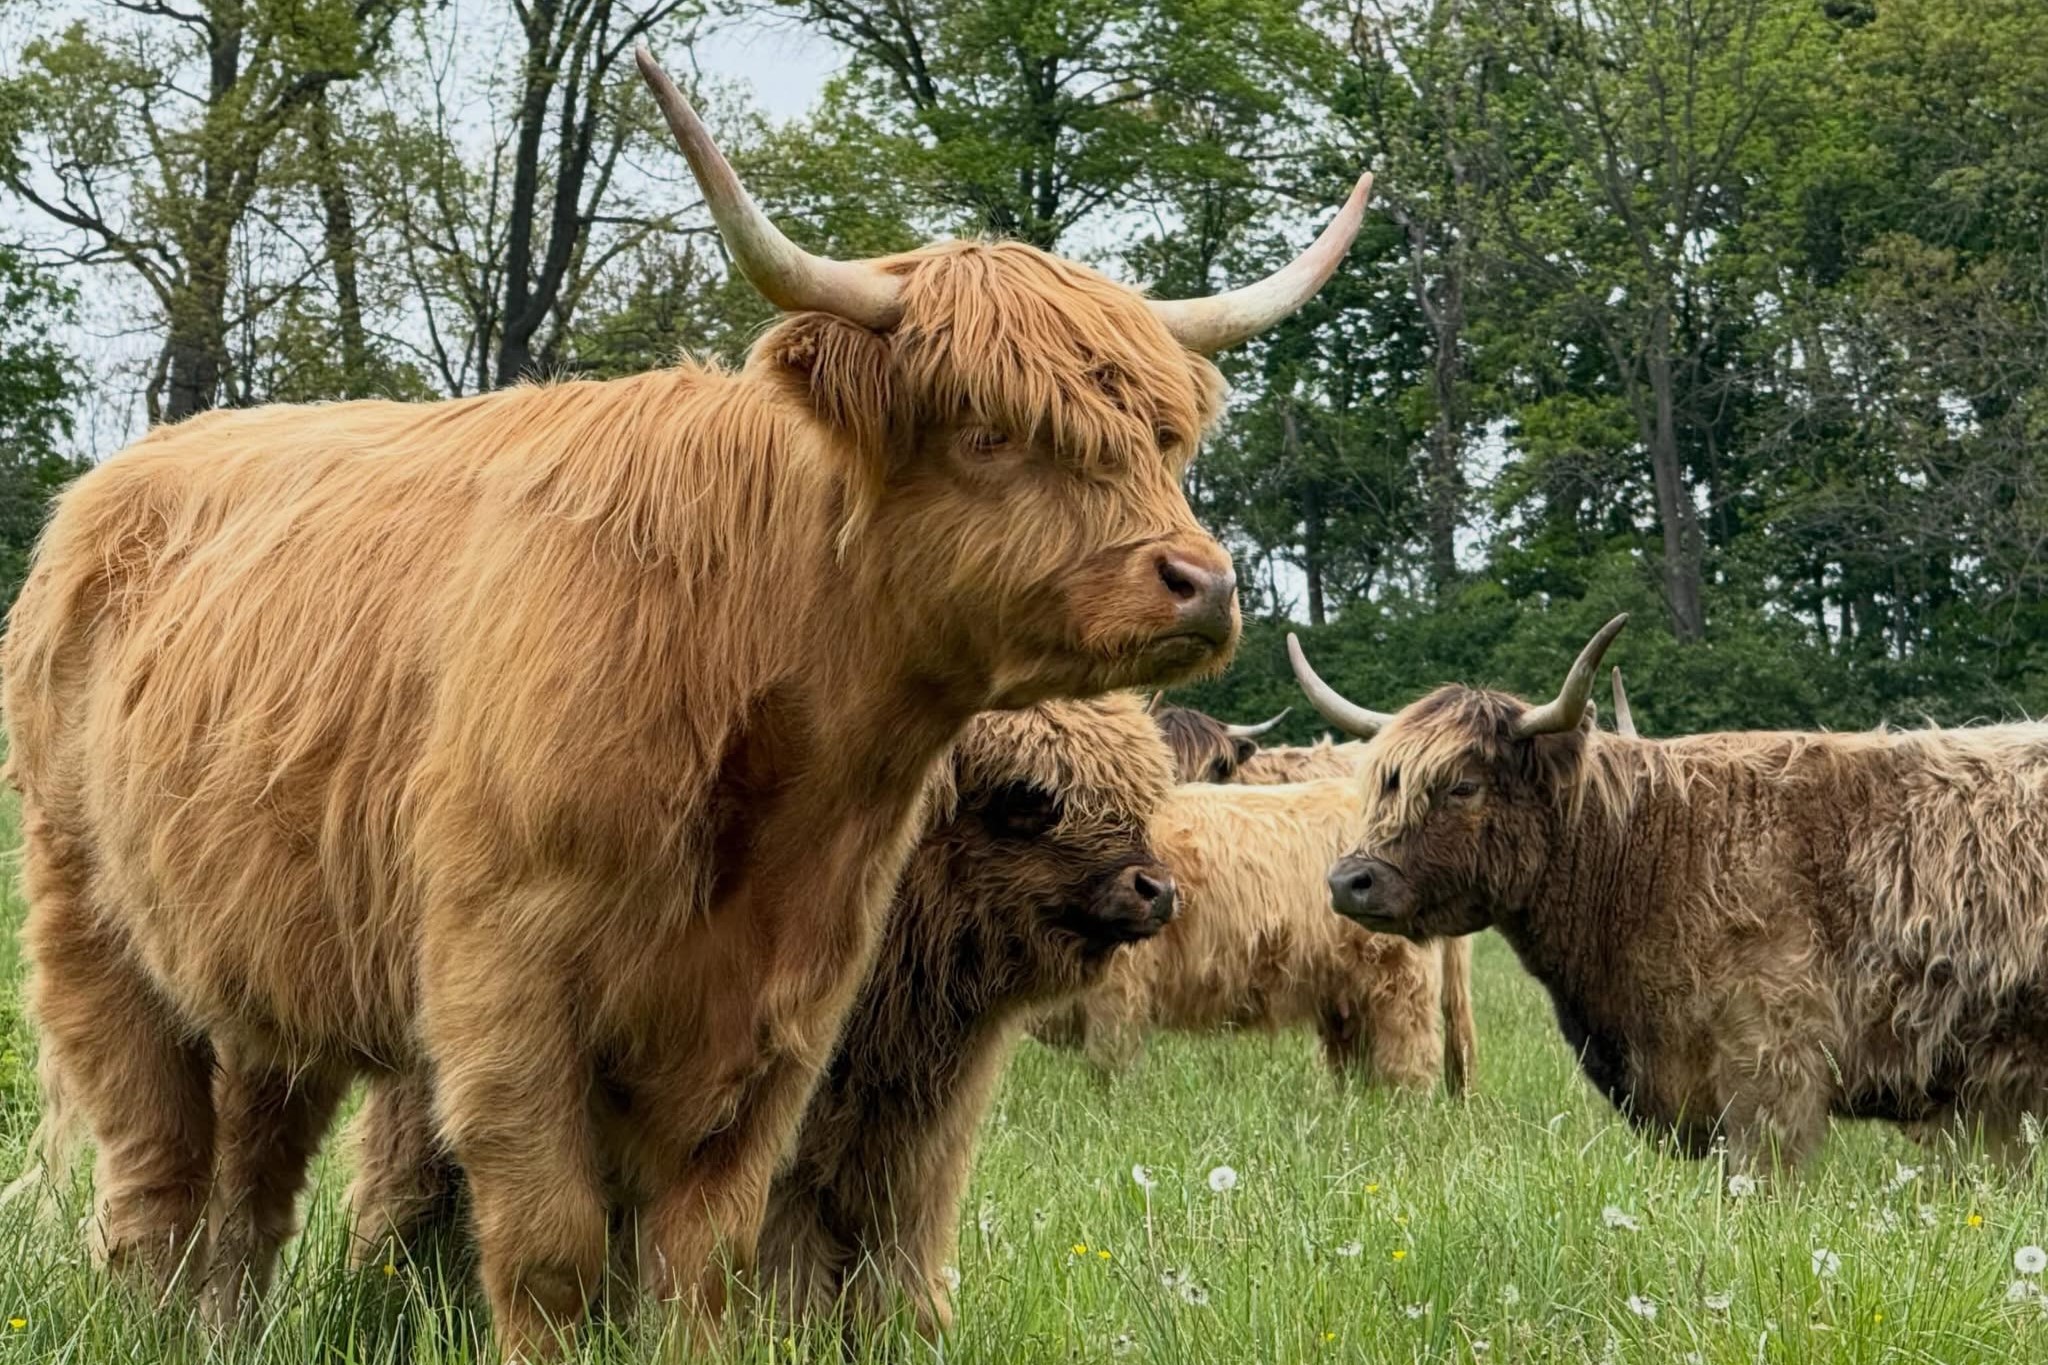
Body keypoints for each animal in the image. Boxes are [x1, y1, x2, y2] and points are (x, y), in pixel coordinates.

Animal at [346, 694, 1179, 1338]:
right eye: (1030, 796)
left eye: (1140, 793)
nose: (1155, 888)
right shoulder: (778, 1141)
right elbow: (778, 1267)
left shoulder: (914, 1148)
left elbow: (897, 1260)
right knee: (409, 1186)